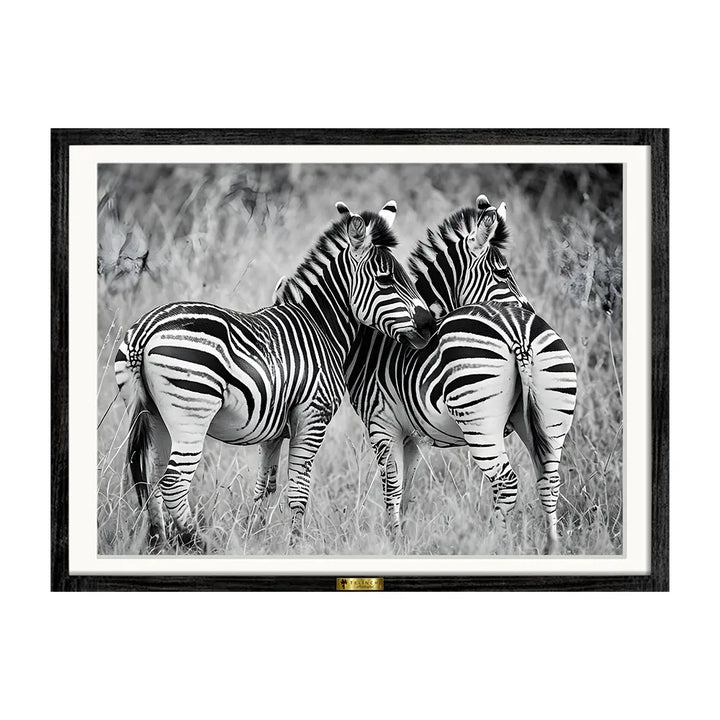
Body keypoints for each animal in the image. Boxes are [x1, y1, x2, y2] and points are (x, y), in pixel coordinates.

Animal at [114, 200, 435, 548]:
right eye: (385, 280)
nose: (429, 325)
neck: (322, 326)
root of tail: (143, 333)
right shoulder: (312, 415)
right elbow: (299, 491)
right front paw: (296, 544)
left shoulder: (273, 430)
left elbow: (264, 487)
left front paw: (256, 537)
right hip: (191, 415)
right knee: (173, 484)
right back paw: (201, 544)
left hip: (154, 415)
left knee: (153, 482)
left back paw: (159, 542)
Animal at [342, 195, 577, 553]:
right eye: (503, 273)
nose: (532, 312)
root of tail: (519, 332)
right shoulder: (412, 434)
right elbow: (405, 490)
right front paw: (403, 541)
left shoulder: (383, 424)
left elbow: (392, 490)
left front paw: (394, 542)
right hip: (550, 418)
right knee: (549, 479)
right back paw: (551, 547)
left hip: (481, 421)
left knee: (506, 482)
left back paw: (495, 545)